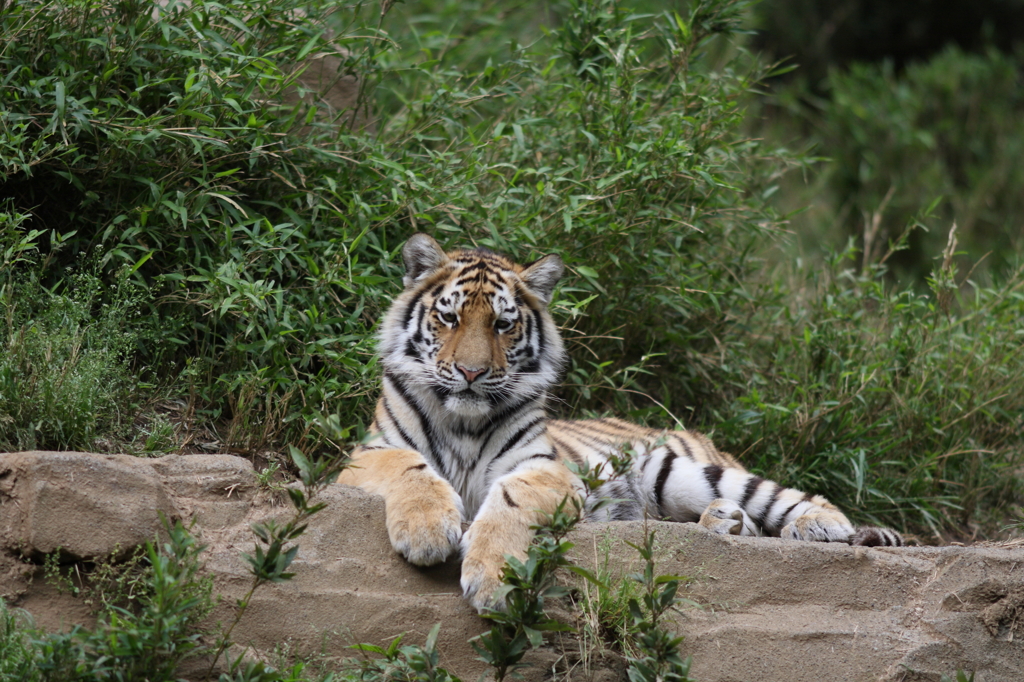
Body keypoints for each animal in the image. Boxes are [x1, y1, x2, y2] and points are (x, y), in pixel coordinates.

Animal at [337, 233, 905, 610]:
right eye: (449, 318)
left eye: (502, 324)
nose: (472, 373)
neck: (463, 421)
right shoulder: (362, 457)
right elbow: (409, 466)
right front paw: (427, 530)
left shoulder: (544, 467)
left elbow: (509, 500)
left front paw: (496, 580)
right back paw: (724, 522)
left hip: (678, 469)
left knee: (786, 498)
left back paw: (821, 526)